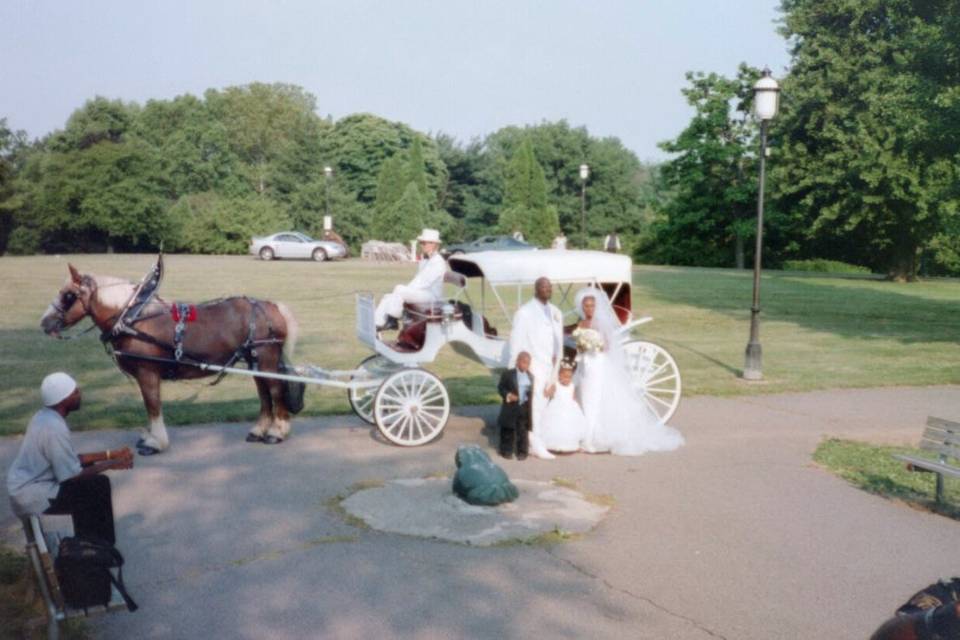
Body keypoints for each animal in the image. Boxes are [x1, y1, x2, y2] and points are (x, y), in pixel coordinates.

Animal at [40, 262, 300, 452]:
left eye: (68, 295)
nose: (44, 323)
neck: (132, 318)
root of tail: (270, 306)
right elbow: (150, 406)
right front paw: (149, 437)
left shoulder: (148, 373)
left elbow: (153, 405)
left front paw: (155, 442)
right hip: (255, 360)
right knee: (264, 393)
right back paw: (258, 430)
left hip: (266, 359)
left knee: (275, 391)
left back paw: (276, 432)